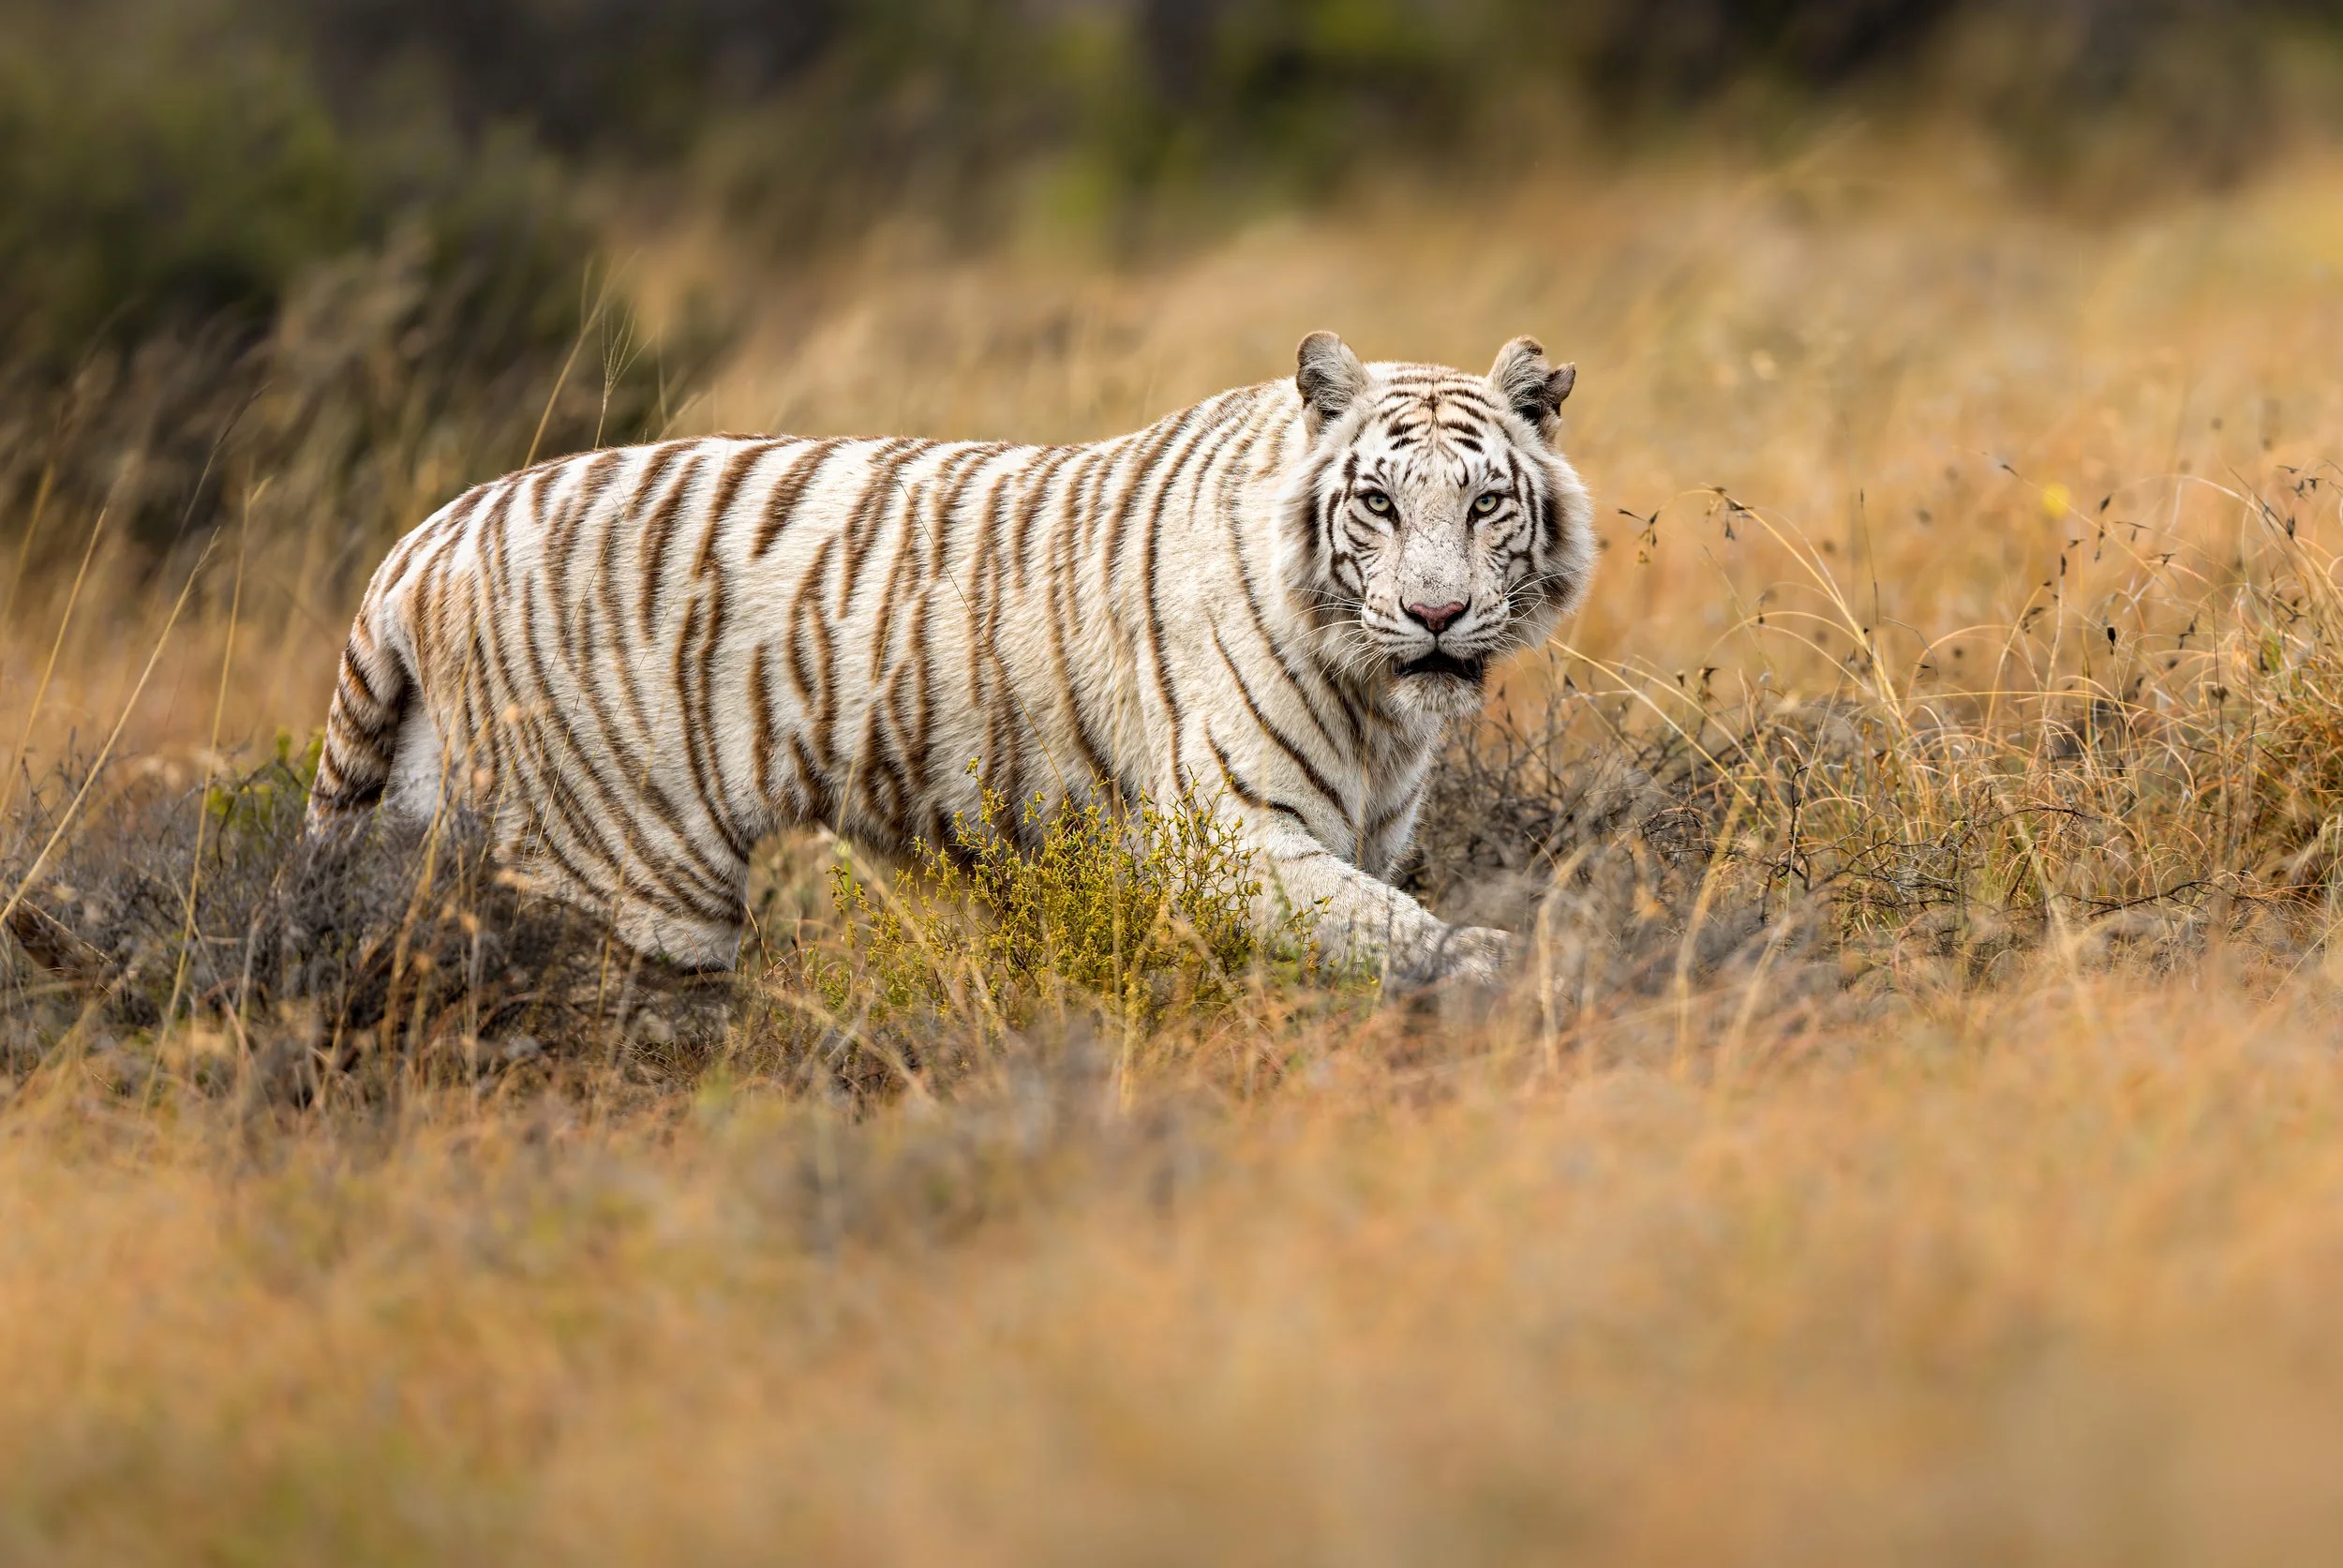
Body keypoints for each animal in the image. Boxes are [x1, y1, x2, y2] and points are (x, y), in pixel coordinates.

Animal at [306, 332, 1596, 985]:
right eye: (1377, 502)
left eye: (1484, 505)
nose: (1435, 613)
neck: (1381, 705)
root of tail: (430, 531)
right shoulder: (1238, 837)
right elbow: (1385, 925)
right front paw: (1504, 962)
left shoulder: (1364, 823)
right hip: (630, 882)